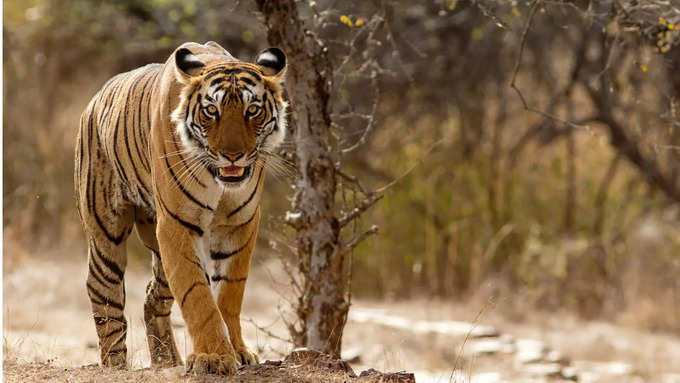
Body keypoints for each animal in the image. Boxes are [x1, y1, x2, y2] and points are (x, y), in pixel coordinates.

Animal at [73, 42, 288, 376]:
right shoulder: (177, 225)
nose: (233, 156)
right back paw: (115, 364)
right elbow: (197, 294)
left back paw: (166, 360)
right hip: (106, 232)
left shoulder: (239, 224)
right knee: (103, 291)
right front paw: (214, 357)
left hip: (158, 252)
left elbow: (229, 293)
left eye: (252, 110)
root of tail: (95, 99)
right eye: (212, 111)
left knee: (153, 297)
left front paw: (237, 351)